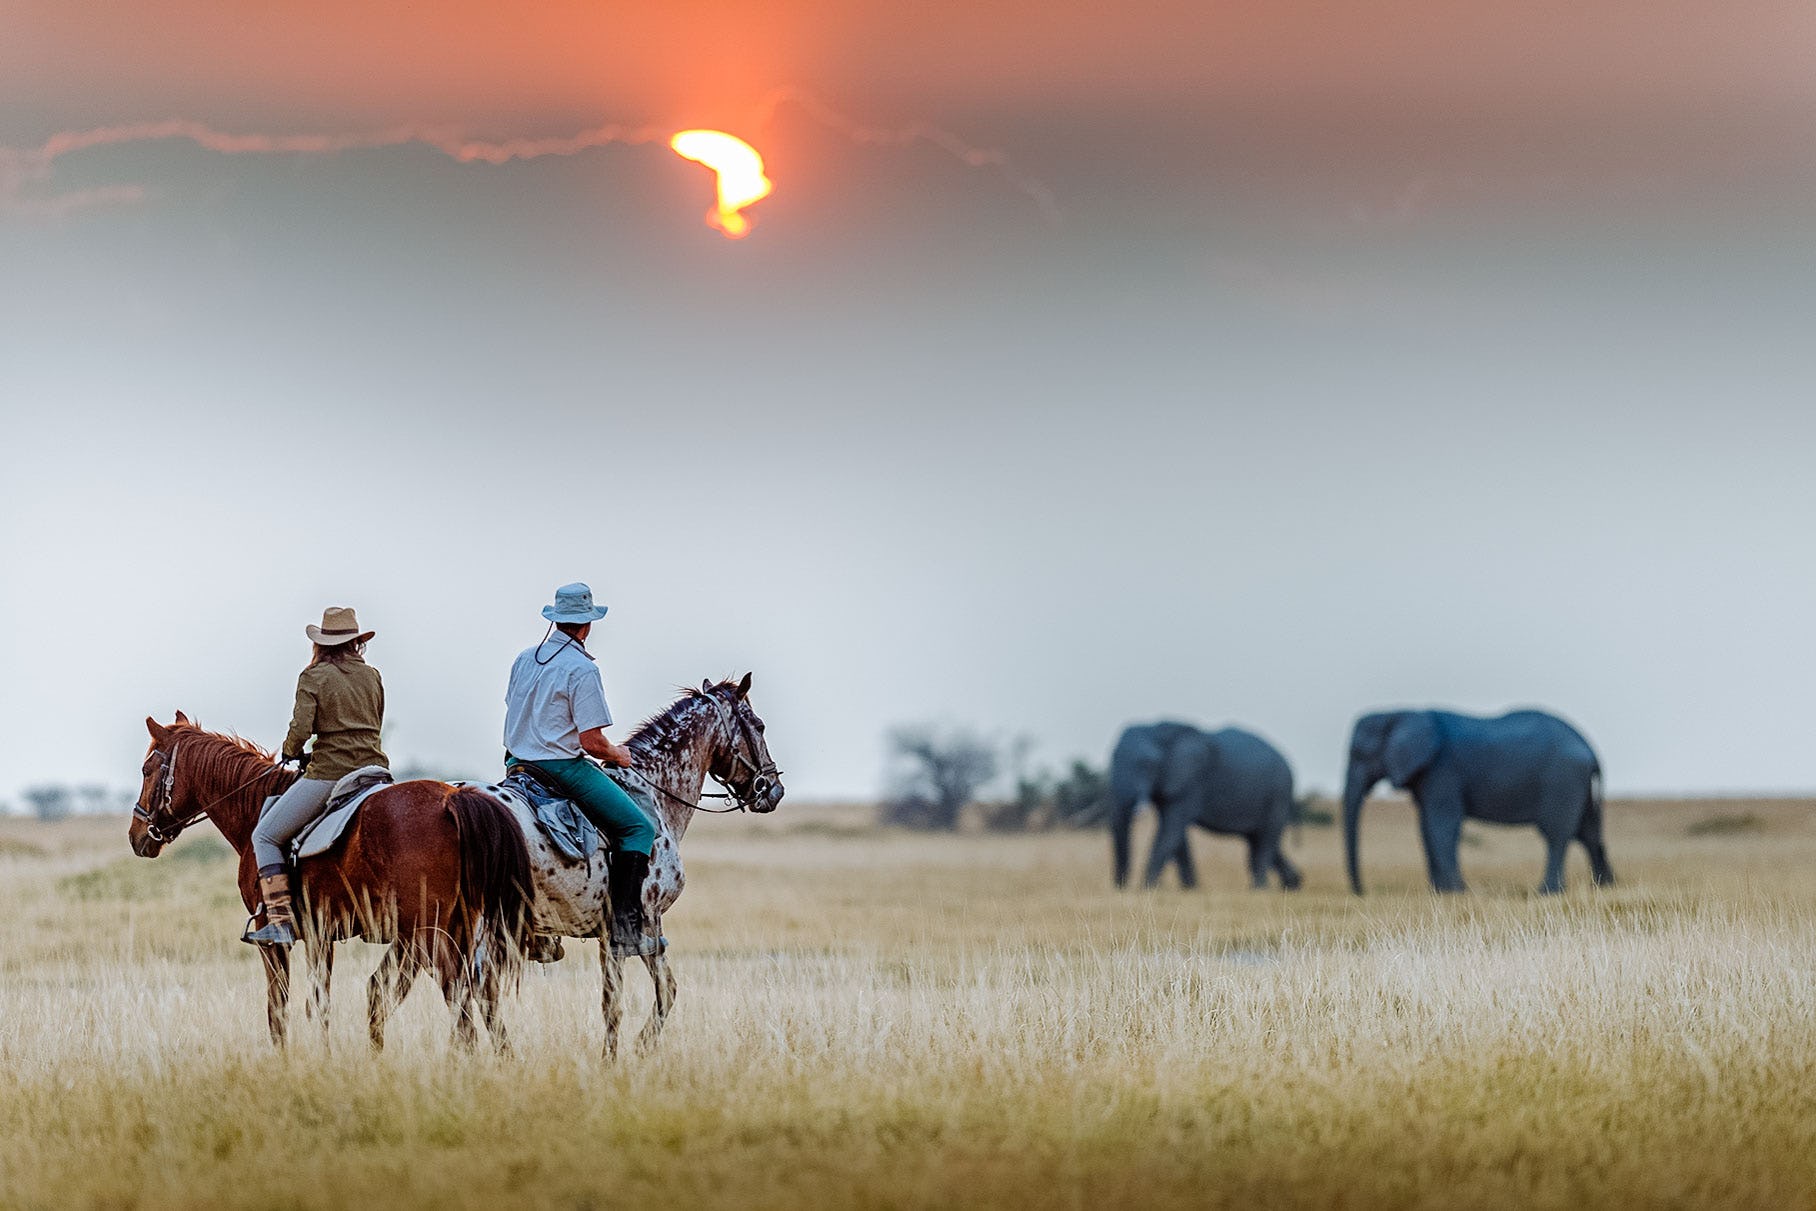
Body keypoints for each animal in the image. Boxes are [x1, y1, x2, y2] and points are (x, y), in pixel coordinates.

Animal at [130, 713, 533, 1050]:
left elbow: (279, 1009)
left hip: (430, 932)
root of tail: (452, 799)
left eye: (147, 770)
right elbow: (319, 1004)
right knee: (481, 993)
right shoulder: (320, 935)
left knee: (458, 993)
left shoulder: (272, 938)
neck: (255, 808)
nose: (137, 837)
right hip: (458, 926)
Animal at [482, 673, 784, 1056]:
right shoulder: (646, 920)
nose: (774, 790)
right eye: (759, 726)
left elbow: (612, 1001)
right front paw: (637, 1048)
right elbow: (661, 991)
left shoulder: (607, 934)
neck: (654, 795)